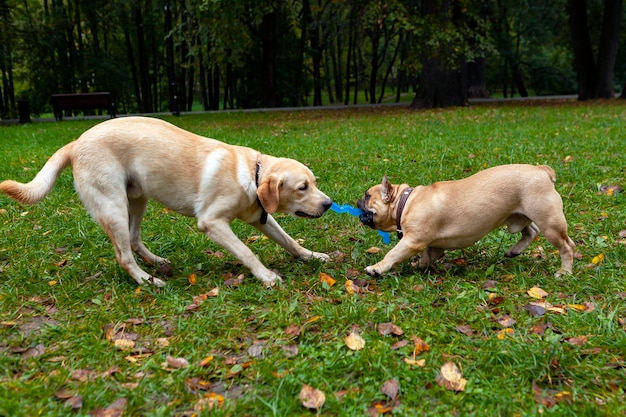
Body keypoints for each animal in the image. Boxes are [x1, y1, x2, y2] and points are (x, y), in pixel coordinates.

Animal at [1, 116, 332, 286]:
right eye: (302, 187)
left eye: (314, 183)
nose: (329, 204)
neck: (253, 173)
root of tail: (76, 142)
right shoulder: (212, 223)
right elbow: (246, 251)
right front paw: (265, 276)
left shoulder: (262, 218)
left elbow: (290, 241)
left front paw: (313, 256)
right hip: (113, 207)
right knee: (123, 255)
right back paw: (147, 281)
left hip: (138, 200)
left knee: (134, 241)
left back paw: (158, 263)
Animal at [358, 164, 572, 278]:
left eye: (367, 196)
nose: (358, 200)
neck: (406, 201)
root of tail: (542, 170)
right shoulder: (432, 245)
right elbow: (428, 255)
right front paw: (419, 266)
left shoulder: (412, 241)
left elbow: (393, 254)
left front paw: (376, 268)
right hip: (523, 215)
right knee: (531, 231)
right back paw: (514, 250)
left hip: (549, 221)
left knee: (566, 246)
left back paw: (564, 272)